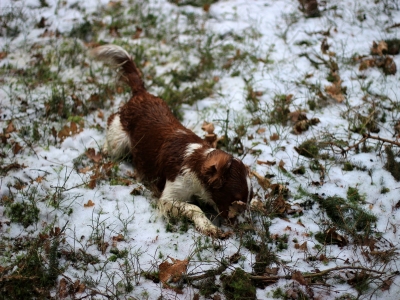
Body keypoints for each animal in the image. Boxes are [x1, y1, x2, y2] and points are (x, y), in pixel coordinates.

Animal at [90, 44, 253, 238]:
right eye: (235, 200)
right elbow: (194, 208)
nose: (245, 227)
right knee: (111, 127)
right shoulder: (168, 198)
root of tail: (141, 93)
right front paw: (209, 227)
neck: (196, 162)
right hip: (119, 144)